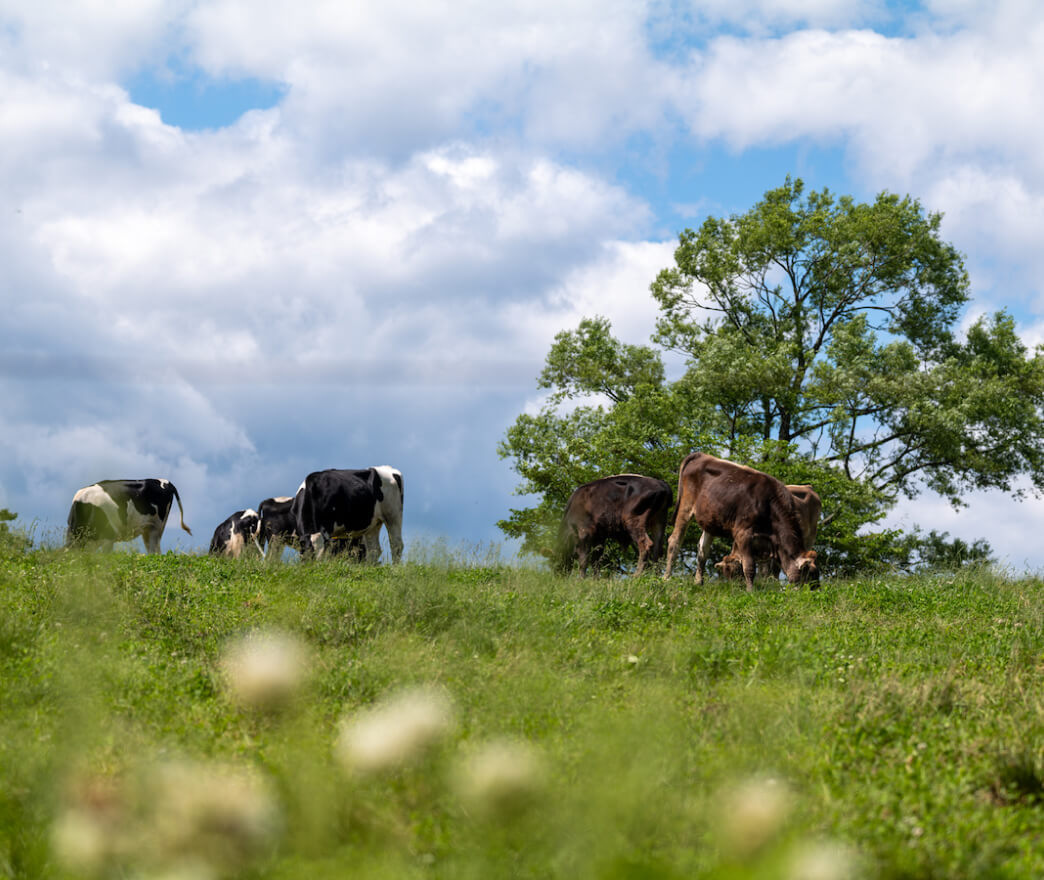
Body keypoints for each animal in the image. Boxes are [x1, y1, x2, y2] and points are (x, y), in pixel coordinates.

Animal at [663, 455, 818, 592]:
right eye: (808, 574)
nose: (814, 592)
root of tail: (701, 455)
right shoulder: (743, 533)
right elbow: (749, 566)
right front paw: (750, 591)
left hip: (710, 520)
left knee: (702, 550)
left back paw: (698, 583)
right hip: (685, 506)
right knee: (674, 541)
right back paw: (666, 578)